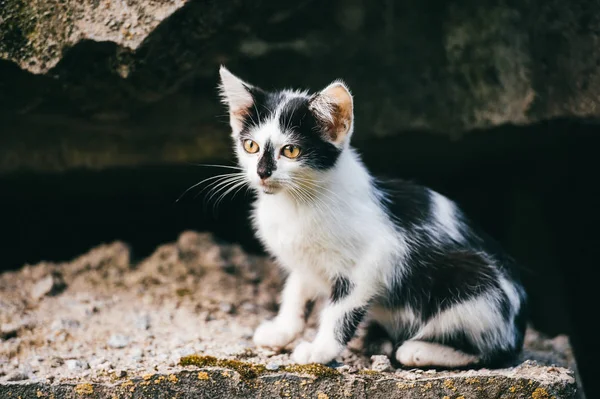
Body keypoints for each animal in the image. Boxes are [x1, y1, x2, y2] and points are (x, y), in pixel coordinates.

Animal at [218, 65, 528, 368]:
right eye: (251, 146)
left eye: (291, 150)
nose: (262, 172)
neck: (296, 203)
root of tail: (517, 328)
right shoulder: (306, 261)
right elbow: (296, 292)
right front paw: (282, 330)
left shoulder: (371, 262)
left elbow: (339, 311)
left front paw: (320, 350)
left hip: (475, 288)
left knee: (492, 352)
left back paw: (418, 350)